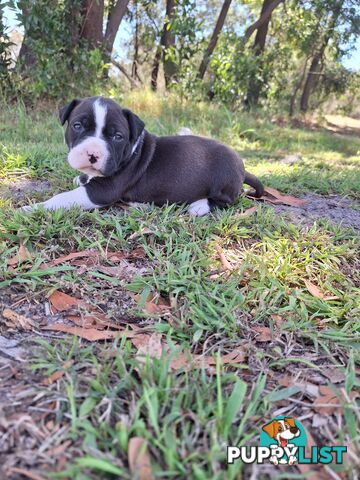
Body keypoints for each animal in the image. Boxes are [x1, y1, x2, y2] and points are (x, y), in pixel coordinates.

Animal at [23, 96, 264, 216]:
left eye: (118, 136)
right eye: (77, 126)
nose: (93, 154)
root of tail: (242, 168)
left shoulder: (102, 191)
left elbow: (63, 198)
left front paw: (33, 208)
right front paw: (81, 177)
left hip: (222, 183)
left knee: (227, 201)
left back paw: (199, 206)